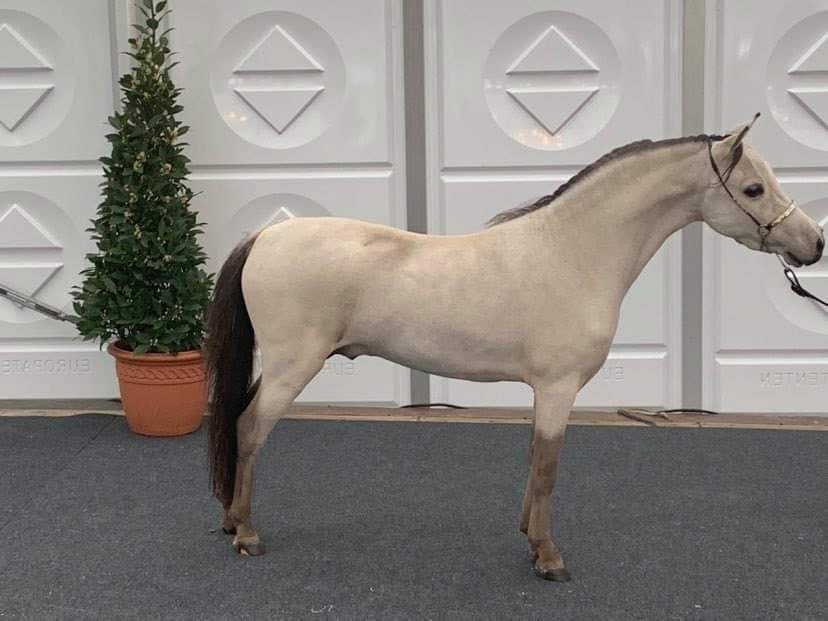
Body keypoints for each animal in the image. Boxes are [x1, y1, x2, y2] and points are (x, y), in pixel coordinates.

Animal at [205, 116, 824, 581]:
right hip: (293, 366)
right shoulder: (558, 388)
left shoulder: (542, 390)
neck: (572, 251)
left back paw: (232, 522)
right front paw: (548, 558)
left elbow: (533, 458)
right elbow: (548, 466)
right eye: (753, 189)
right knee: (250, 429)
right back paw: (247, 534)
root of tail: (265, 235)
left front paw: (529, 536)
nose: (813, 243)